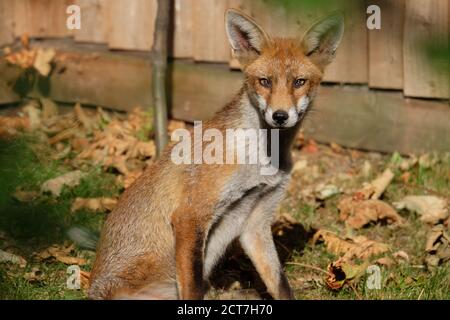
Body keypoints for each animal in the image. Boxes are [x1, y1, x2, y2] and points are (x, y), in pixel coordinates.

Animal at [88, 8, 344, 300]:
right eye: (264, 82)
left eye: (299, 82)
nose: (280, 116)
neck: (261, 161)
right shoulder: (190, 215)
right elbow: (192, 288)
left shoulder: (256, 221)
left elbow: (280, 284)